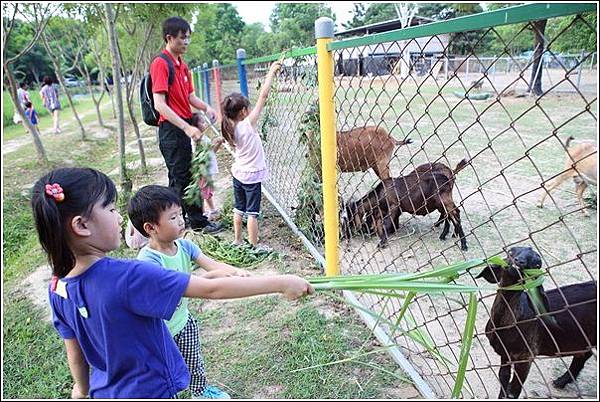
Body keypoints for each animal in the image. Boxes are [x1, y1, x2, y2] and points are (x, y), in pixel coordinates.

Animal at [478, 247, 596, 398]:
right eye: (511, 252)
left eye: (537, 264)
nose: (519, 262)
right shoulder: (505, 353)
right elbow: (503, 378)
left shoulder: (526, 356)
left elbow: (514, 390)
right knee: (582, 355)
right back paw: (561, 382)